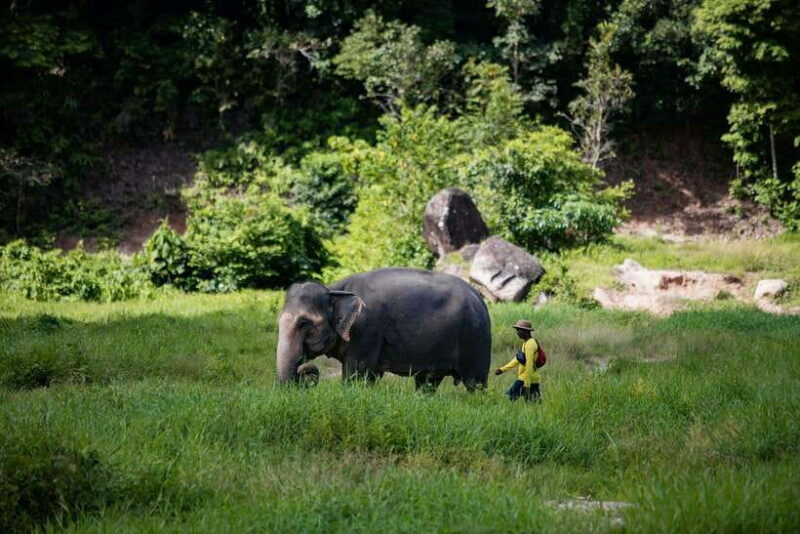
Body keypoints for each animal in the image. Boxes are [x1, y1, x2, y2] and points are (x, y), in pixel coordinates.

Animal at [276, 267, 491, 391]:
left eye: (304, 323)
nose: (303, 370)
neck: (334, 289)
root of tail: (479, 296)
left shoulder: (366, 330)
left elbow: (357, 374)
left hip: (475, 339)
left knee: (475, 384)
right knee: (428, 381)